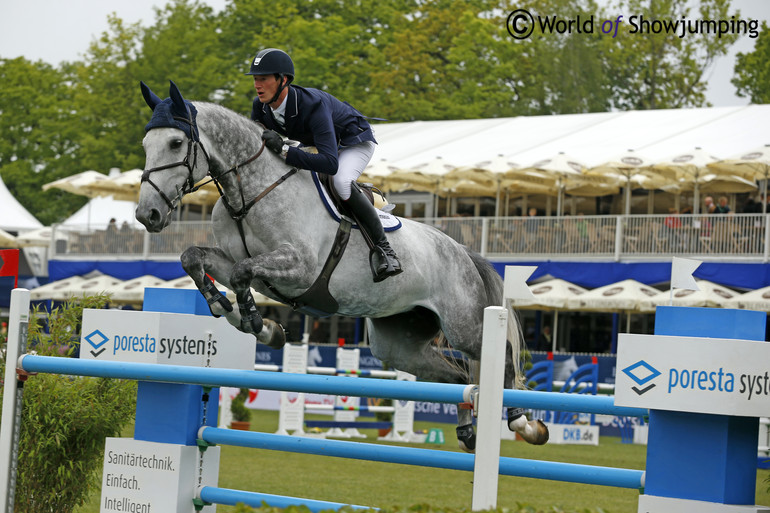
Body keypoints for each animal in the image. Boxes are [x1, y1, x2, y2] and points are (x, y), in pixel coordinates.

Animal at [134, 78, 544, 450]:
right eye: (145, 144)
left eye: (175, 143)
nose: (146, 215)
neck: (249, 194)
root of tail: (463, 251)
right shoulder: (241, 261)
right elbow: (194, 258)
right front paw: (233, 311)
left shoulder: (299, 269)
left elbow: (240, 275)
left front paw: (256, 322)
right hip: (398, 344)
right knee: (457, 378)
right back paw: (467, 432)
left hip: (465, 325)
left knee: (501, 360)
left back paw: (523, 424)